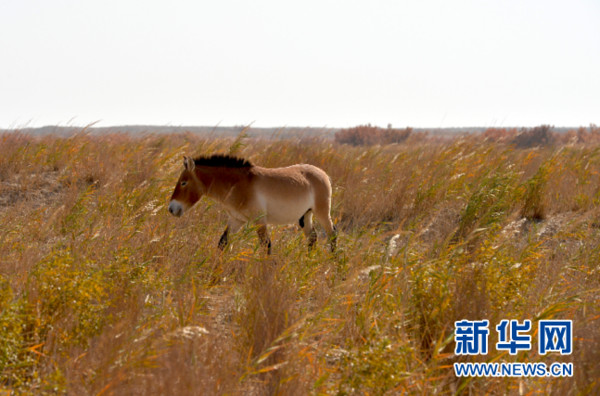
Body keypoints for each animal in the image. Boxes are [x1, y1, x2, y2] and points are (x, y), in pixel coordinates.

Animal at [169, 155, 338, 254]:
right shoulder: (236, 220)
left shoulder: (260, 221)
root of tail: (323, 174)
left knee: (332, 234)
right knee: (313, 238)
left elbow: (266, 246)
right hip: (306, 215)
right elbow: (223, 243)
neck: (239, 184)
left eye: (183, 182)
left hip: (322, 212)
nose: (171, 208)